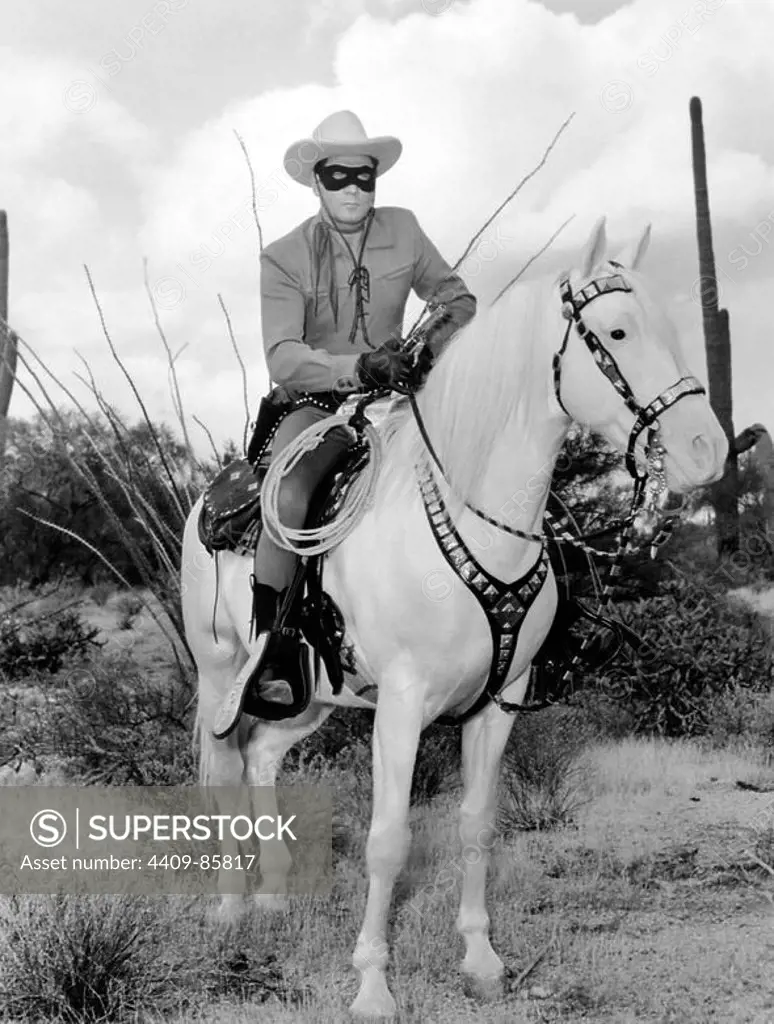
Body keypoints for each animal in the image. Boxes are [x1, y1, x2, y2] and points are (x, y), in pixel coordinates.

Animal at [180, 216, 724, 1015]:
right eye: (618, 332)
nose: (705, 449)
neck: (477, 520)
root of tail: (213, 499)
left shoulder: (498, 701)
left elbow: (476, 826)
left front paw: (480, 957)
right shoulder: (402, 707)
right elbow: (388, 840)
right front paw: (373, 984)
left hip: (311, 695)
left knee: (261, 758)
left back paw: (275, 896)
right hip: (222, 676)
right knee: (222, 769)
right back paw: (230, 908)